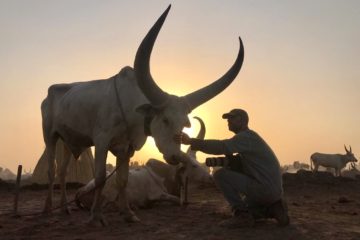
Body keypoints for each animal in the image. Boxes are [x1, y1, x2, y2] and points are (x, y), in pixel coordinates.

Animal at [75, 116, 211, 210]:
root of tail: (81, 191)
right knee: (107, 206)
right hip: (110, 192)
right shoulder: (157, 195)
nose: (209, 178)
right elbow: (178, 200)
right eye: (194, 166)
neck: (163, 176)